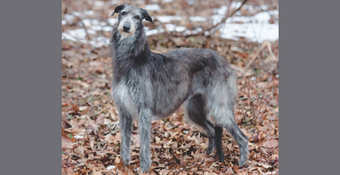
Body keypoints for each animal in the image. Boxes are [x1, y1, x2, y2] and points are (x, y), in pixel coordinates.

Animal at [110, 4, 248, 174]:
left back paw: (241, 164)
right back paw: (208, 156)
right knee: (211, 130)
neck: (131, 61)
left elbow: (144, 145)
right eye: (123, 13)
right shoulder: (124, 111)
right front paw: (123, 166)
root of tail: (225, 61)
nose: (126, 27)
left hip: (219, 107)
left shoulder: (144, 111)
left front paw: (143, 168)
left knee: (243, 137)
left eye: (137, 17)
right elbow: (124, 142)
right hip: (194, 109)